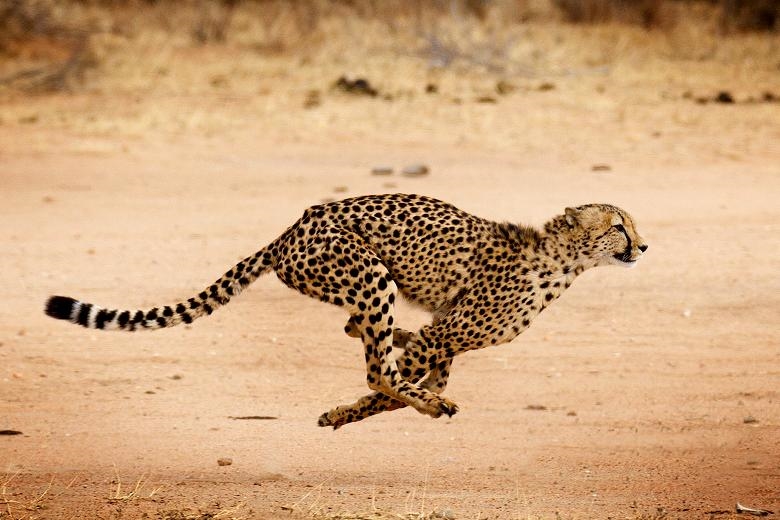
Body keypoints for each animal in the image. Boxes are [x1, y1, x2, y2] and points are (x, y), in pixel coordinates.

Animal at [45, 193, 648, 429]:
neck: (563, 262)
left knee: (363, 335)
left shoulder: (446, 336)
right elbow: (392, 385)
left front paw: (349, 412)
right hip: (370, 273)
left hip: (364, 284)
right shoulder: (443, 335)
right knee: (375, 363)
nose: (643, 246)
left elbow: (417, 378)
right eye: (618, 225)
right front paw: (349, 412)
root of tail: (292, 227)